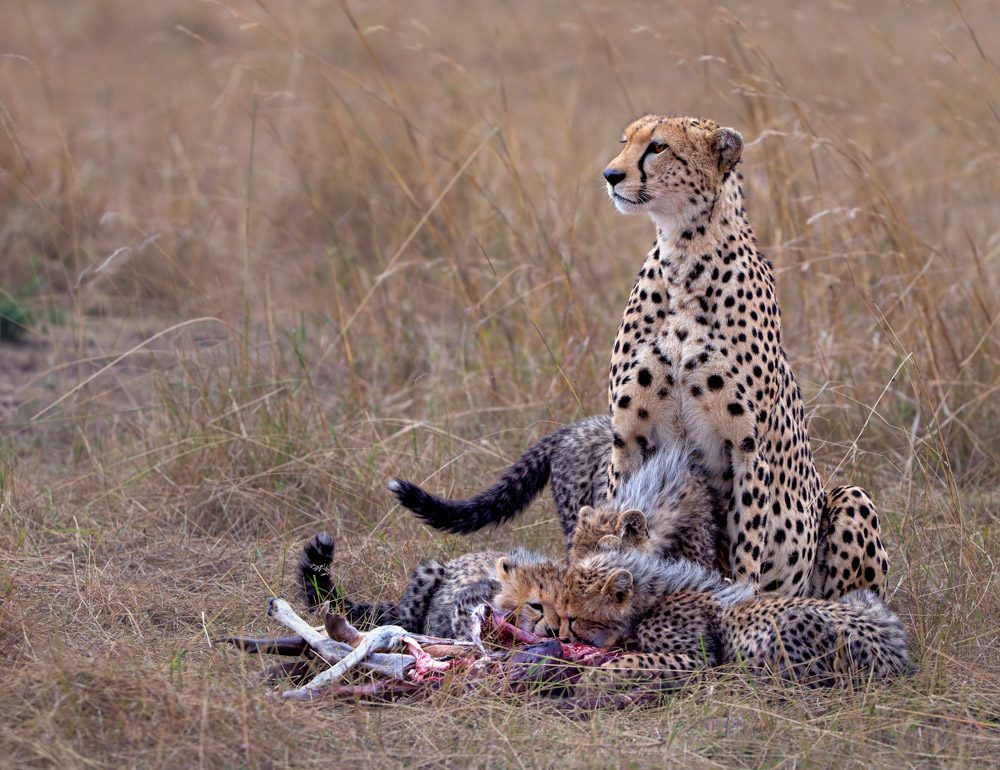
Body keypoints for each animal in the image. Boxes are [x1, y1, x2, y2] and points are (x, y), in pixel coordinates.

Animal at [558, 547, 913, 688]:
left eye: (572, 618)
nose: (561, 637)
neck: (654, 595)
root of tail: (898, 656)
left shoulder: (698, 658)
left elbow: (632, 660)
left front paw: (594, 678)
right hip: (862, 599)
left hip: (789, 628)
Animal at [600, 113, 889, 598]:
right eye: (625, 142)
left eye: (657, 147)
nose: (611, 175)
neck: (685, 257)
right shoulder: (628, 438)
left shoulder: (747, 448)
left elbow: (748, 548)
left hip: (850, 499)